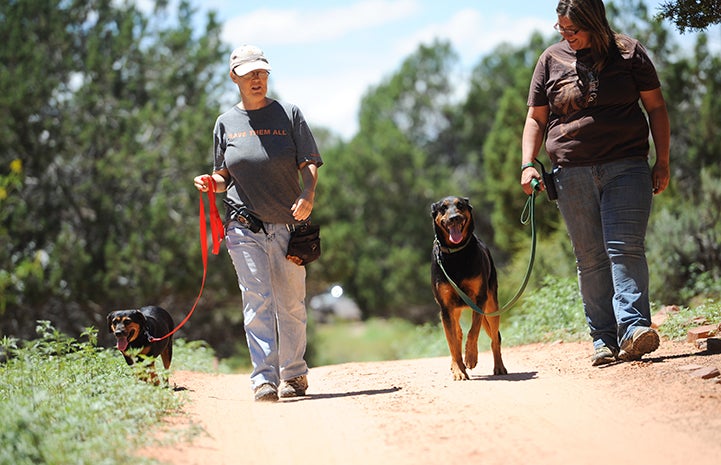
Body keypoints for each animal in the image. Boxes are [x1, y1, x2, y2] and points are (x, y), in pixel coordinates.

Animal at [430, 197, 510, 380]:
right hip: (454, 311)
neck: (456, 253)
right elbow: (452, 343)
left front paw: (471, 357)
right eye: (443, 208)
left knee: (495, 339)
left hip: (492, 306)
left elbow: (473, 331)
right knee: (457, 333)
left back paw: (499, 367)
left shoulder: (479, 300)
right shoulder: (445, 308)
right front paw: (459, 370)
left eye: (460, 205)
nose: (454, 218)